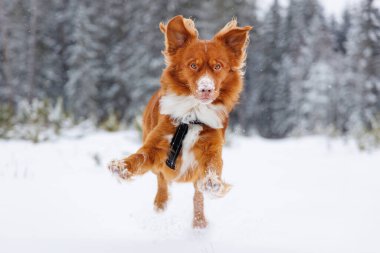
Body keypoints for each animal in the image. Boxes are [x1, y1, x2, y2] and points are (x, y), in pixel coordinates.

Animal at [109, 15, 252, 229]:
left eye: (218, 66)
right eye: (193, 65)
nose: (206, 89)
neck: (192, 116)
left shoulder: (211, 148)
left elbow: (211, 169)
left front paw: (213, 183)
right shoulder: (157, 145)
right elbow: (140, 157)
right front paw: (122, 167)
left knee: (197, 194)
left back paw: (199, 222)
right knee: (161, 179)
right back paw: (161, 203)